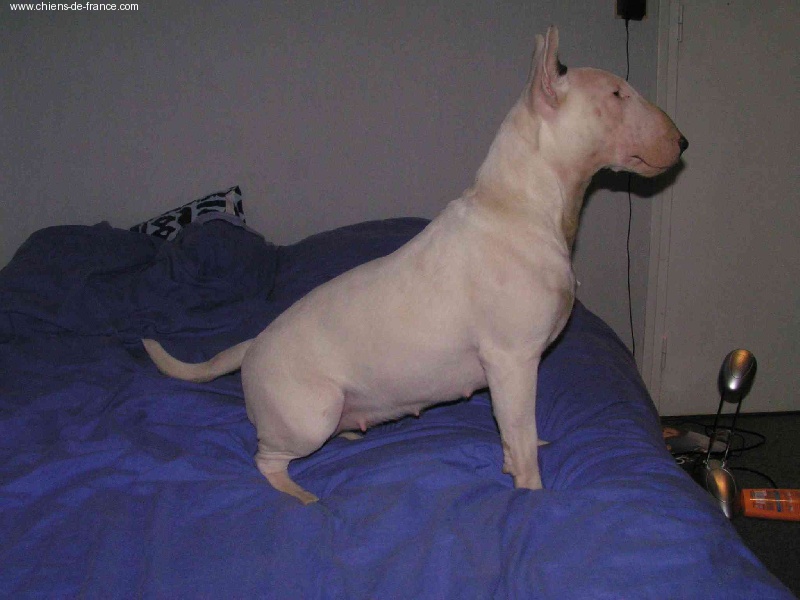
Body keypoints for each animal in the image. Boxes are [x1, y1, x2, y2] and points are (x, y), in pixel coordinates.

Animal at [143, 27, 687, 505]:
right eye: (617, 93)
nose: (683, 143)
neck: (521, 204)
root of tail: (252, 346)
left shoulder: (509, 374)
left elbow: (516, 434)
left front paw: (521, 457)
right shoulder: (512, 361)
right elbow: (521, 433)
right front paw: (533, 495)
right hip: (309, 413)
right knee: (265, 459)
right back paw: (300, 495)